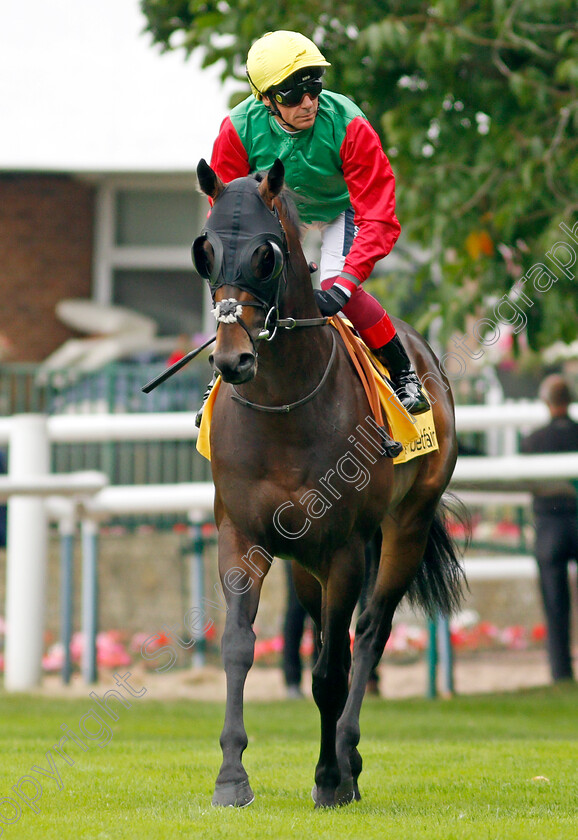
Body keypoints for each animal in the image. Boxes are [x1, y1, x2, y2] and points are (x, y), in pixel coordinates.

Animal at [192, 156, 464, 808]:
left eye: (264, 256)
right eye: (205, 251)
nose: (233, 360)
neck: (283, 406)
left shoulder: (344, 549)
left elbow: (331, 671)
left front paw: (328, 777)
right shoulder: (243, 538)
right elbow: (239, 648)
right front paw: (231, 777)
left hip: (403, 529)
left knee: (367, 635)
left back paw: (348, 756)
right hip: (304, 562)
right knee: (325, 633)